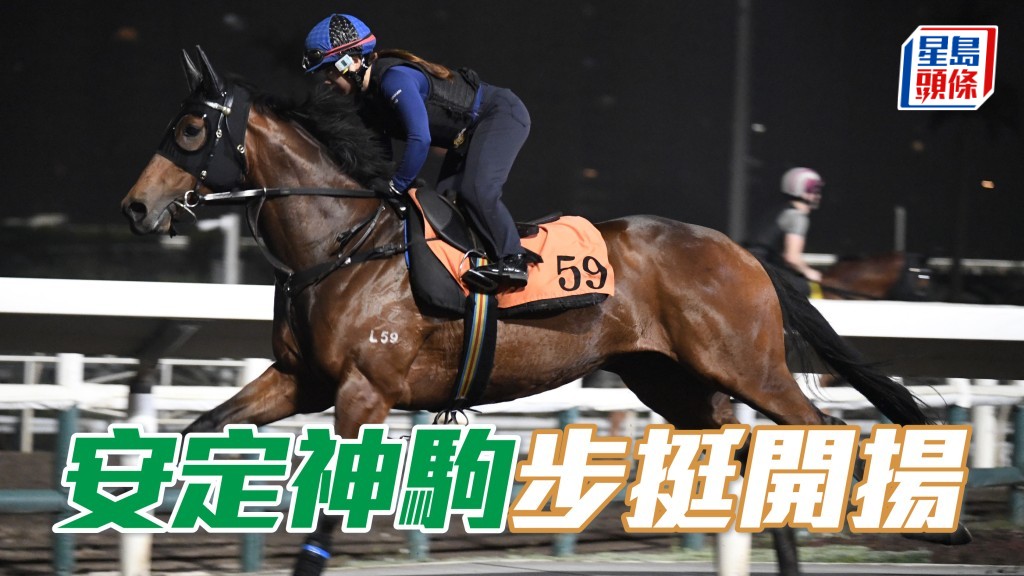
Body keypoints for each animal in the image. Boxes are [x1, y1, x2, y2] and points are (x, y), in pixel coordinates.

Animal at [120, 49, 967, 575]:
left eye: (189, 129)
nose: (134, 208)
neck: (343, 241)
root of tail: (745, 253)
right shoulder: (301, 380)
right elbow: (198, 430)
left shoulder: (365, 390)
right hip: (675, 382)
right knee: (757, 460)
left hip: (747, 367)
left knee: (818, 434)